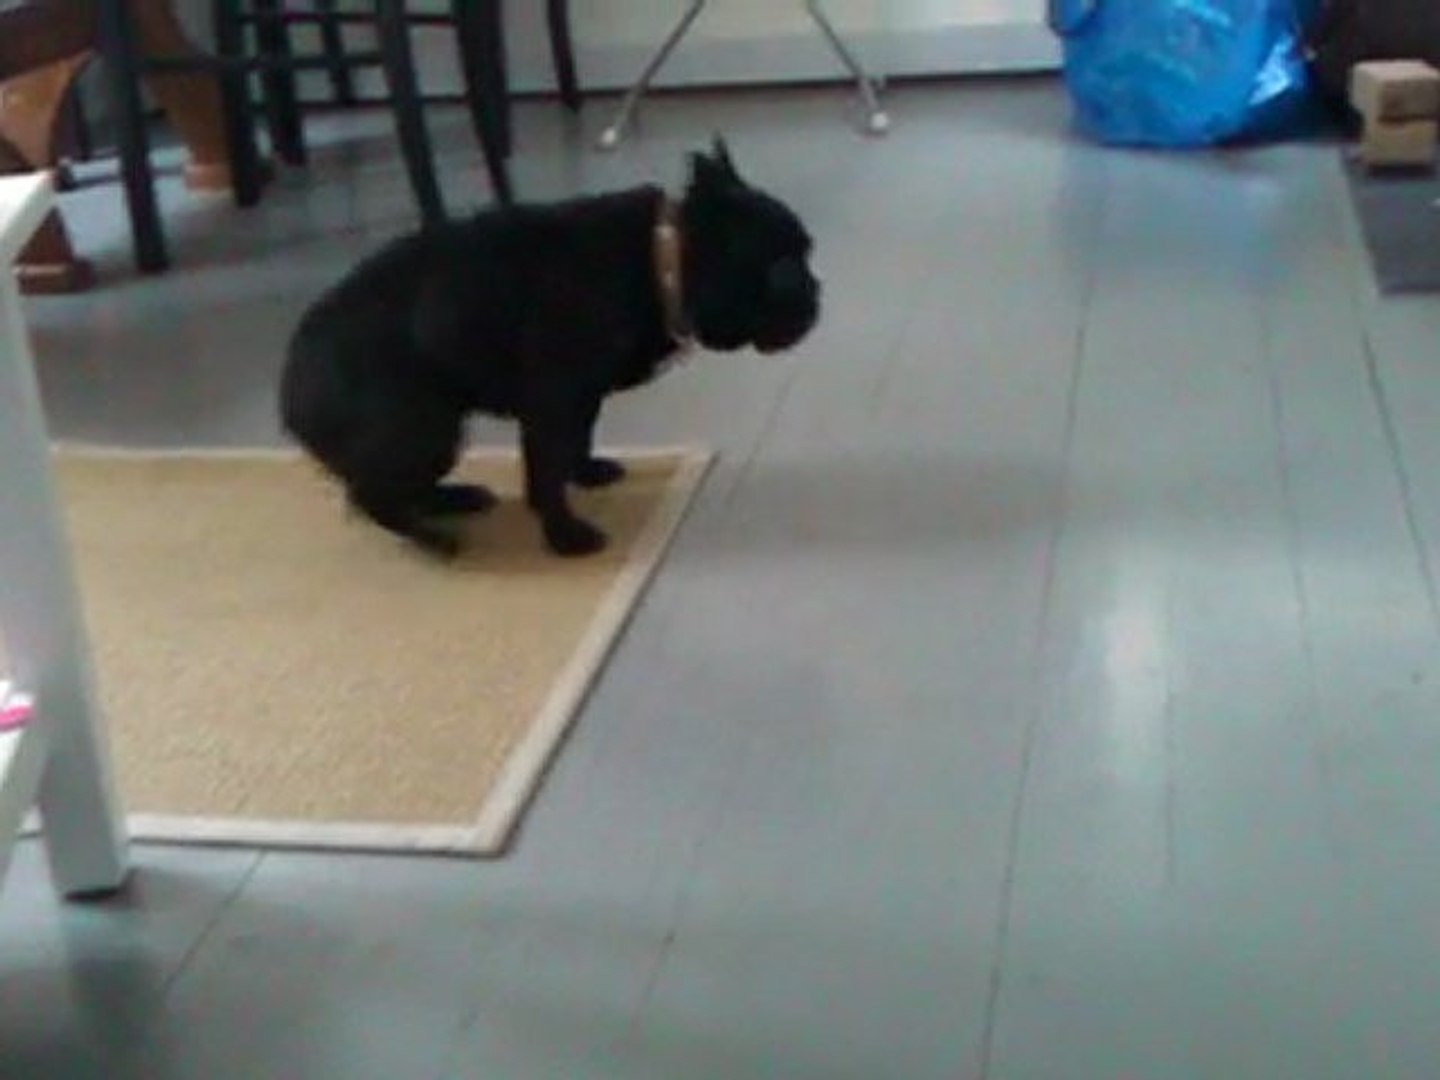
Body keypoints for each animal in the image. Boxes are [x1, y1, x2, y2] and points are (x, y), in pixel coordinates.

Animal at [279, 139, 820, 558]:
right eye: (781, 270)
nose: (815, 291)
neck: (660, 262)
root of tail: (292, 386)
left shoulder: (579, 399)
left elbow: (573, 444)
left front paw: (584, 474)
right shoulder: (553, 400)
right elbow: (545, 469)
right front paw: (564, 535)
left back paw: (453, 499)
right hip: (425, 429)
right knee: (372, 495)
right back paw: (432, 540)